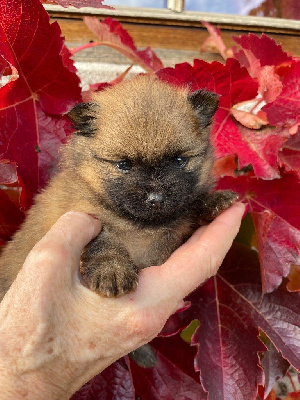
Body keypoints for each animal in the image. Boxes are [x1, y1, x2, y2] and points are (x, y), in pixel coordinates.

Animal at [0, 75, 236, 300]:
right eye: (123, 165)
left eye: (179, 160)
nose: (156, 199)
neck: (141, 226)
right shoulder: (84, 214)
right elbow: (105, 240)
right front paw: (112, 271)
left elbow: (190, 206)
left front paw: (214, 200)